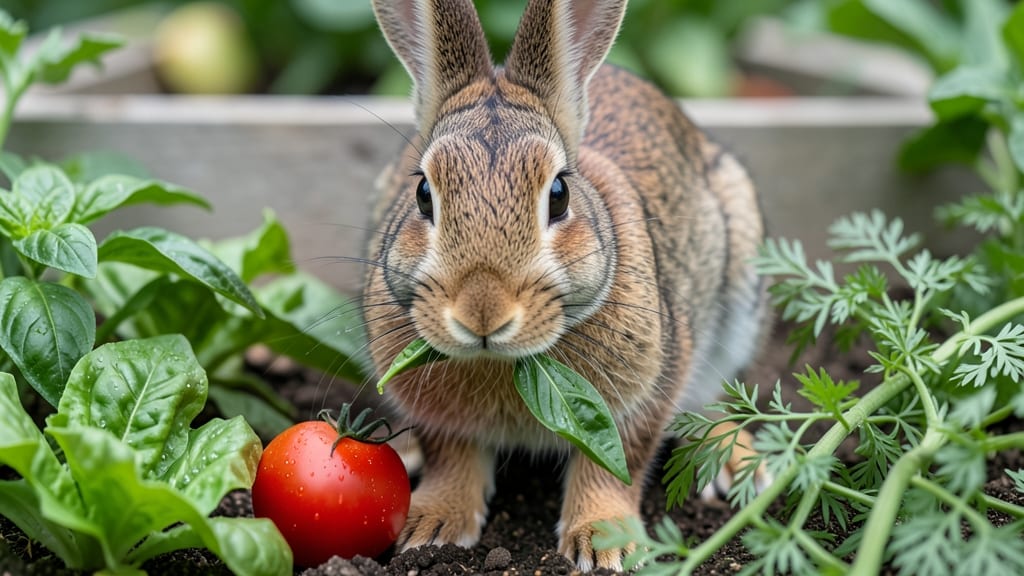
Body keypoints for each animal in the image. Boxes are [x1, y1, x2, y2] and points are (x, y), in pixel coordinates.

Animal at [362, 0, 770, 570]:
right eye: (423, 193)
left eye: (558, 194)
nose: (482, 311)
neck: (506, 362)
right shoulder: (437, 417)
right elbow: (451, 460)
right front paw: (432, 526)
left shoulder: (643, 392)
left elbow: (616, 464)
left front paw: (604, 543)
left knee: (711, 397)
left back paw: (739, 462)